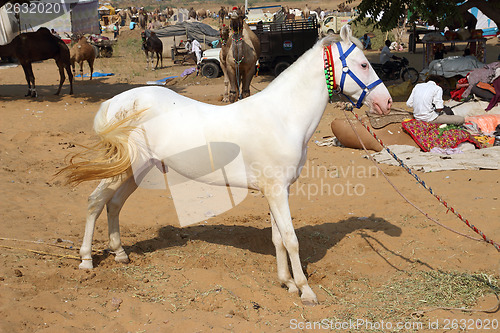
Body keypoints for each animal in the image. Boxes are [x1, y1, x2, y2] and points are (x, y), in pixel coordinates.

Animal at [60, 24, 392, 304]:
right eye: (363, 64)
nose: (386, 102)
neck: (283, 117)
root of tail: (113, 103)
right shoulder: (277, 191)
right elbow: (291, 239)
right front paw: (305, 290)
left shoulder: (276, 191)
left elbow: (277, 238)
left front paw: (286, 282)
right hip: (126, 168)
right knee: (95, 201)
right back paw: (87, 259)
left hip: (136, 170)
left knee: (114, 204)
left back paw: (119, 253)